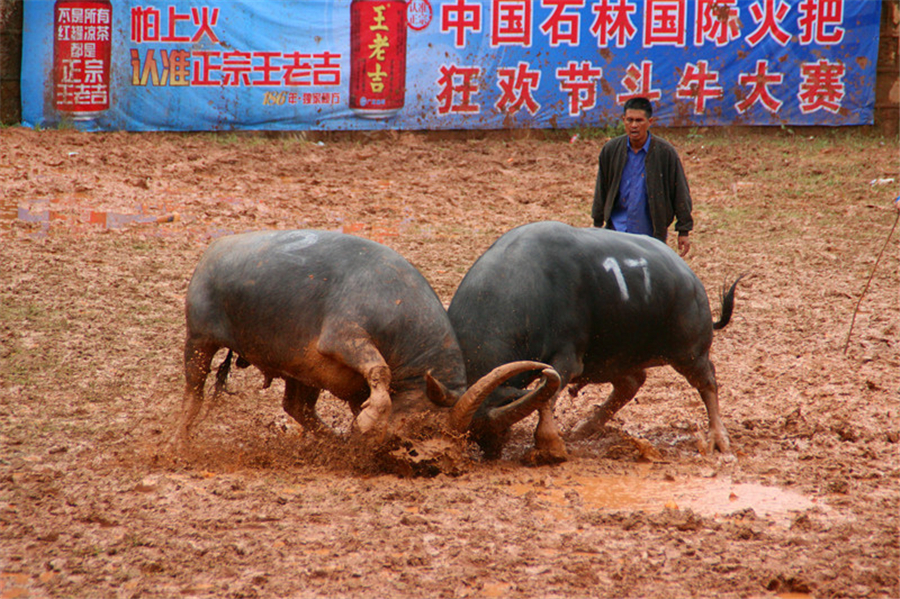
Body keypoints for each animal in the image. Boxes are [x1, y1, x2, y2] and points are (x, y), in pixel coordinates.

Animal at [172, 230, 560, 450]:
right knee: (194, 392)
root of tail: (213, 251)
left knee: (297, 407)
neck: (397, 303)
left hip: (301, 371)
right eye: (424, 427)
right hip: (199, 340)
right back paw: (182, 440)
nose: (434, 459)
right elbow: (381, 372)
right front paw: (369, 421)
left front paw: (362, 430)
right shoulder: (343, 338)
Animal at [446, 223, 740, 462]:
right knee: (631, 382)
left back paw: (718, 437)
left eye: (493, 426)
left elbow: (547, 396)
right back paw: (588, 426)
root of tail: (691, 279)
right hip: (612, 359)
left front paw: (549, 447)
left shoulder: (567, 359)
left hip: (690, 351)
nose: (490, 450)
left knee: (707, 382)